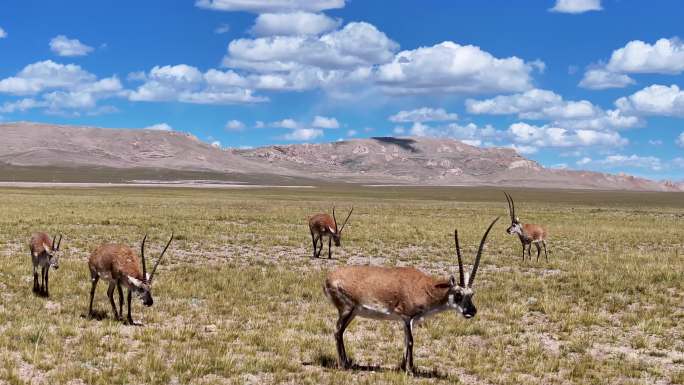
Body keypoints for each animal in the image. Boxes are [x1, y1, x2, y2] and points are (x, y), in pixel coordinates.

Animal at [324, 216, 500, 372]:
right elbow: (411, 342)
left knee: (340, 332)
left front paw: (403, 367)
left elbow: (405, 341)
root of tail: (328, 278)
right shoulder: (407, 316)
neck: (425, 287)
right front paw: (410, 370)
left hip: (353, 313)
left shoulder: (408, 321)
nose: (471, 311)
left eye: (472, 294)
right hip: (347, 310)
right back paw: (343, 365)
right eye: (458, 293)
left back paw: (347, 362)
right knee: (337, 332)